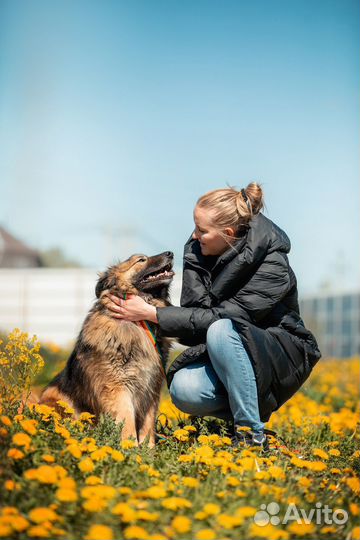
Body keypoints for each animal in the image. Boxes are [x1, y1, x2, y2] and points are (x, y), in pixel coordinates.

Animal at [39, 253, 174, 448]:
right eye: (141, 260)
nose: (170, 253)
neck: (137, 324)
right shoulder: (117, 388)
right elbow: (127, 422)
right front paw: (131, 449)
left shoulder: (151, 388)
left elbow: (148, 424)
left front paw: (148, 451)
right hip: (57, 401)